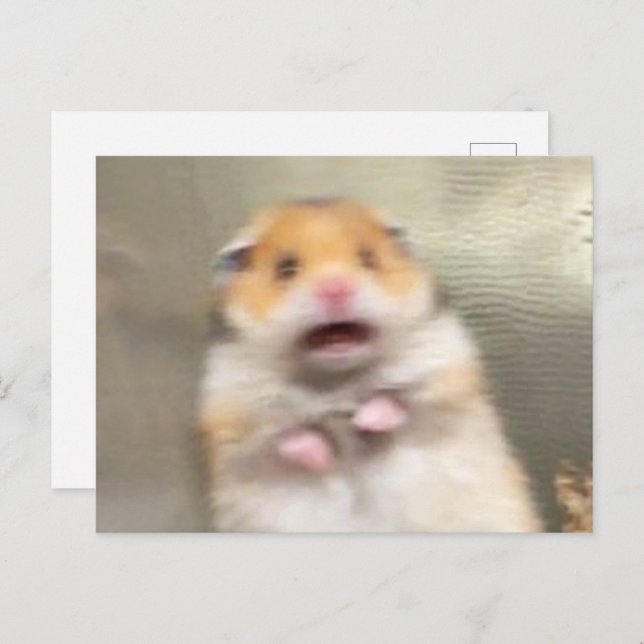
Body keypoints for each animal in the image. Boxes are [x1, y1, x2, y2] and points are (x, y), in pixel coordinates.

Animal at [199, 198, 542, 532]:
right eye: (285, 268)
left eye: (368, 259)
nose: (336, 289)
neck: (336, 378)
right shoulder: (232, 413)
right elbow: (287, 435)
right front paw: (323, 458)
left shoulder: (447, 370)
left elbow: (396, 401)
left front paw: (365, 421)